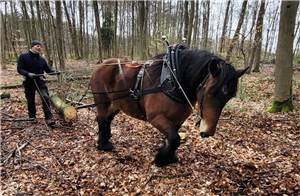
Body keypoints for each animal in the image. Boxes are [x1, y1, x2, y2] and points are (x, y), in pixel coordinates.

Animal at [89, 49, 248, 167]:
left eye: (229, 97)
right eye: (210, 91)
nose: (207, 132)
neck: (174, 81)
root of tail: (101, 66)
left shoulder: (177, 120)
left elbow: (173, 139)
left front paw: (169, 157)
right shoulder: (155, 118)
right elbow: (174, 138)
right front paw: (161, 159)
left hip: (117, 104)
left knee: (108, 119)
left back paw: (107, 137)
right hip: (102, 101)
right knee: (101, 119)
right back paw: (103, 144)